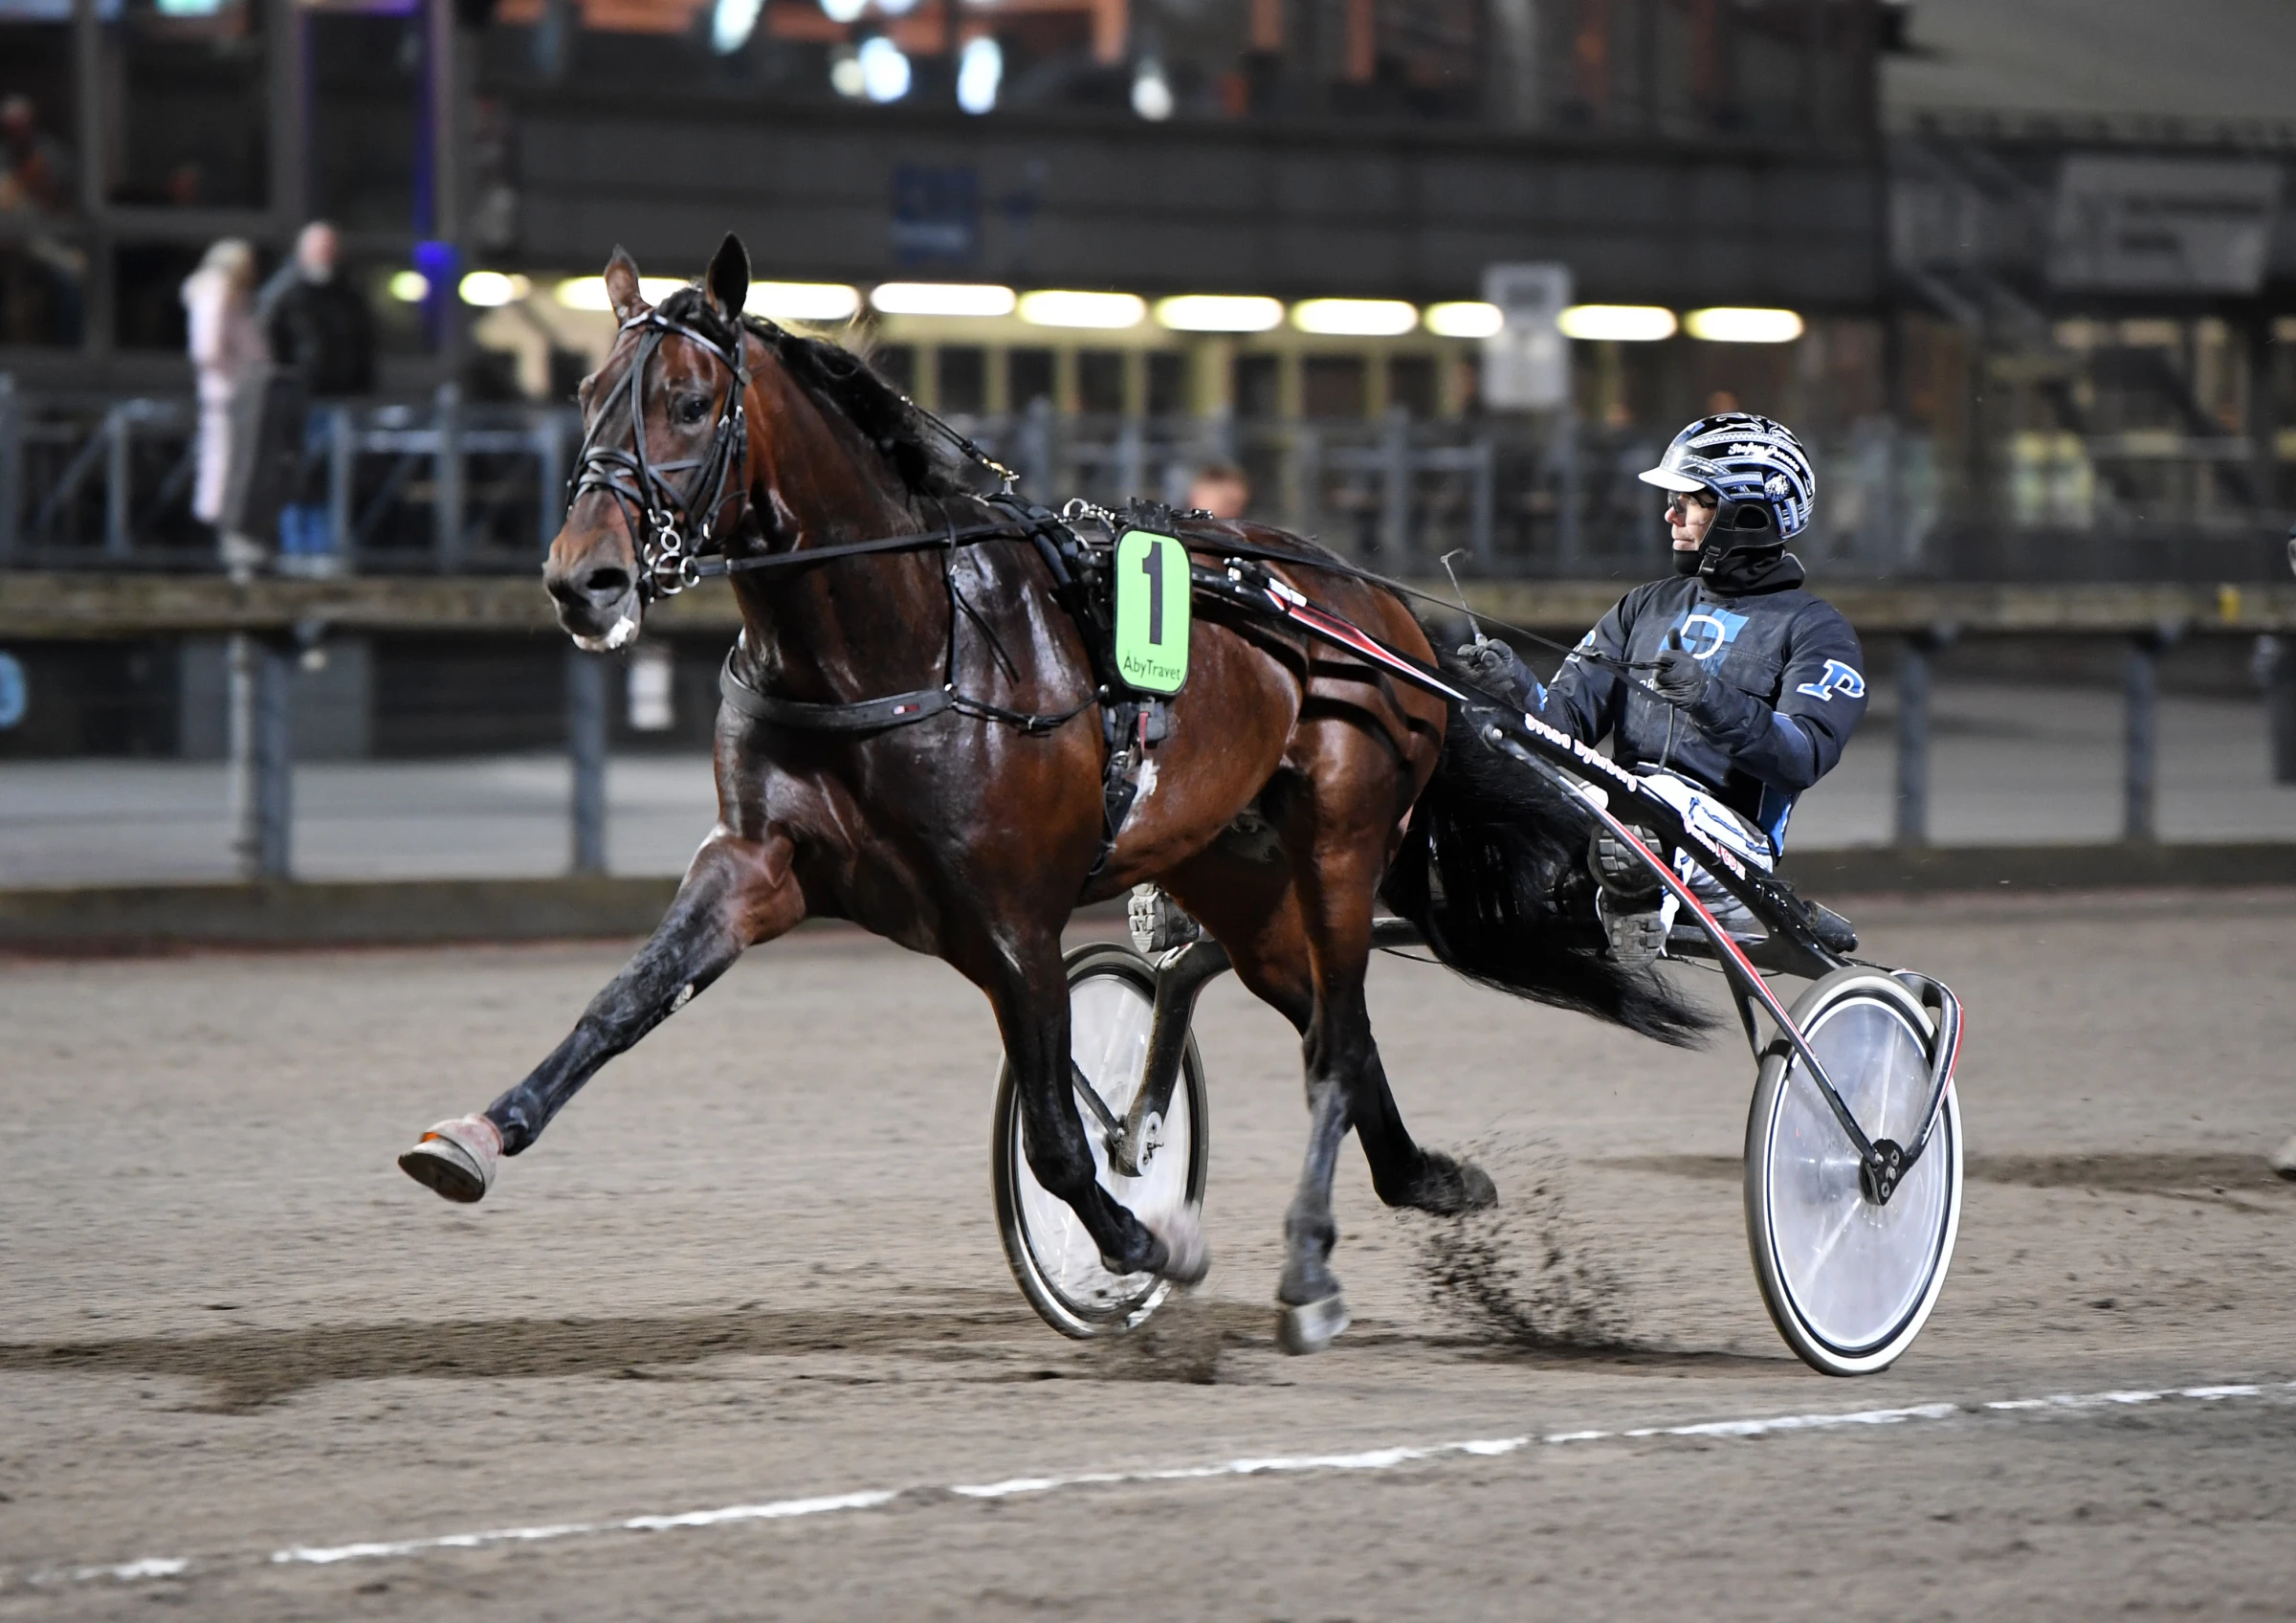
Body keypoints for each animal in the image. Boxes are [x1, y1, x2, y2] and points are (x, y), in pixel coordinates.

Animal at [399, 234, 1708, 1349]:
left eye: (686, 399)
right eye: (584, 393)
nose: (584, 578)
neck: (899, 646)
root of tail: (1372, 605)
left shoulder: (1011, 918)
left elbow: (1062, 1137)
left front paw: (1147, 1239)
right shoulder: (759, 865)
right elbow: (623, 1001)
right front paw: (474, 1134)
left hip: (1342, 835)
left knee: (1337, 1040)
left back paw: (1310, 1269)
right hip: (1235, 873)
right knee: (1335, 1025)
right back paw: (1420, 1176)